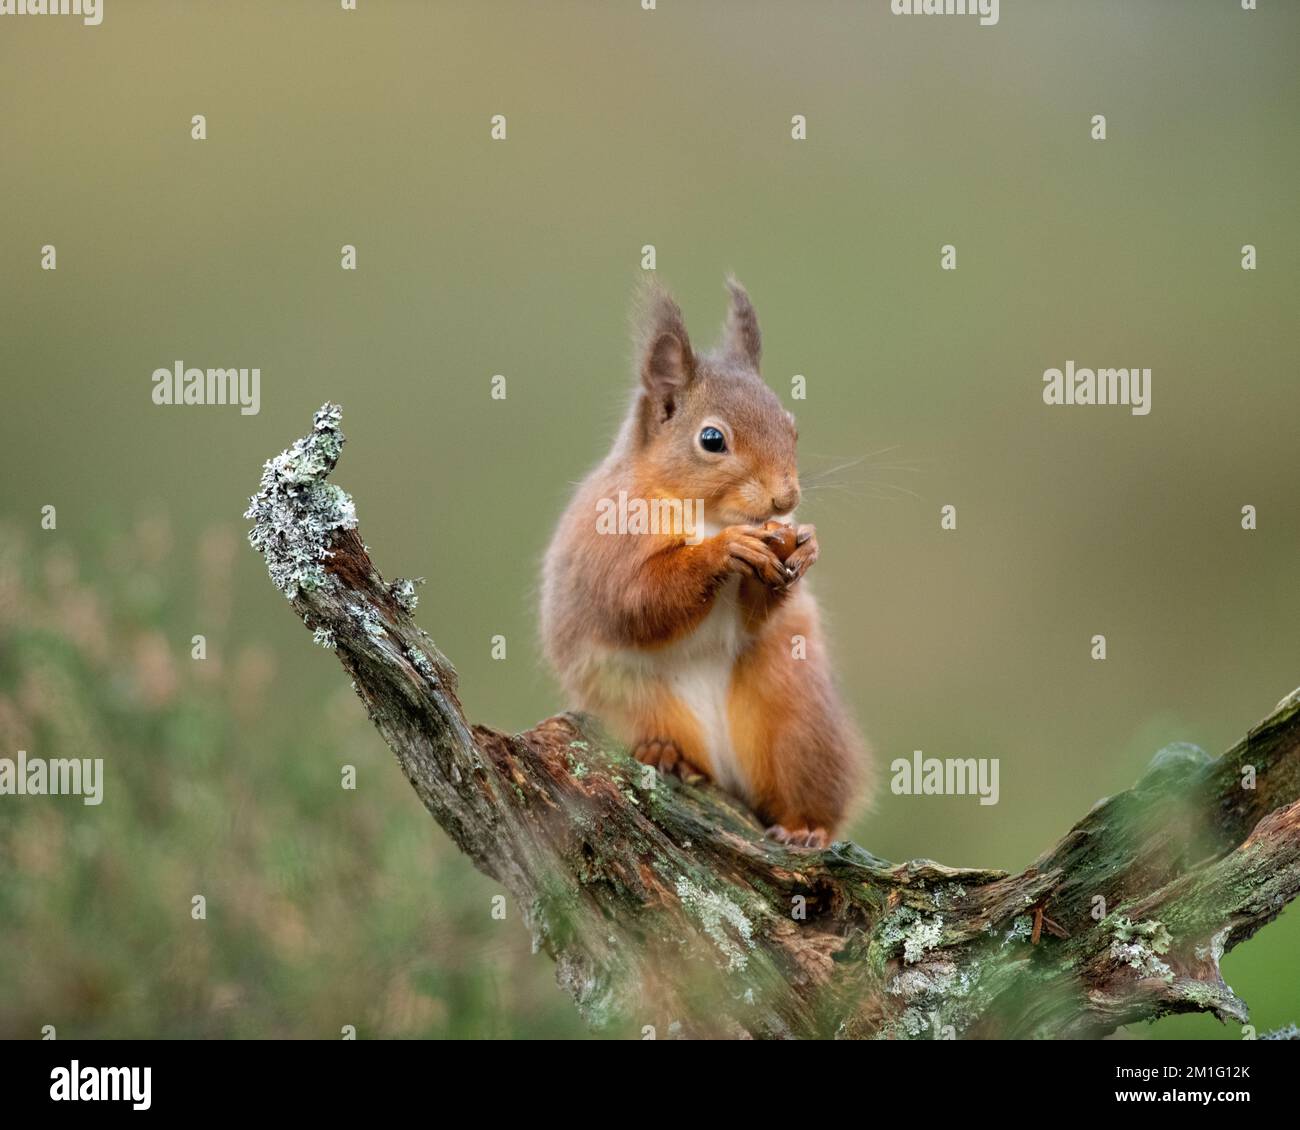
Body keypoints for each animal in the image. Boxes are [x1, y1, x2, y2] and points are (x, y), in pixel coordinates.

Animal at [541, 279, 869, 848]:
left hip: (798, 720)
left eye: (792, 427)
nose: (786, 499)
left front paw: (804, 547)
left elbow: (754, 613)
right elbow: (636, 603)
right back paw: (666, 754)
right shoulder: (605, 551)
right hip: (638, 703)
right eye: (712, 439)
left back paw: (804, 828)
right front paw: (725, 551)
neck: (709, 515)